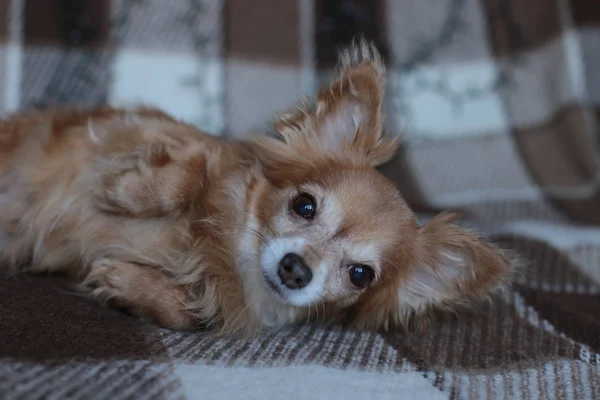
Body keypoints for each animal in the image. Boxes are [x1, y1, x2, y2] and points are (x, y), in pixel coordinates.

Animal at [0, 40, 516, 334]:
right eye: (304, 205)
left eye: (360, 275)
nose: (295, 269)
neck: (227, 248)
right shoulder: (150, 133)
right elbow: (191, 169)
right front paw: (126, 189)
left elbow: (192, 316)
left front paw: (123, 281)